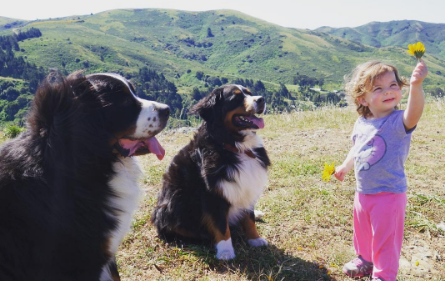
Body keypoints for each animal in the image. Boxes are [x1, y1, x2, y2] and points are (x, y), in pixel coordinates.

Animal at [153, 84, 268, 260]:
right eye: (236, 98)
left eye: (250, 93)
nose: (261, 99)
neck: (233, 145)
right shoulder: (212, 194)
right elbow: (221, 225)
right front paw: (225, 252)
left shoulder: (246, 185)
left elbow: (249, 218)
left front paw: (255, 239)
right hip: (174, 204)